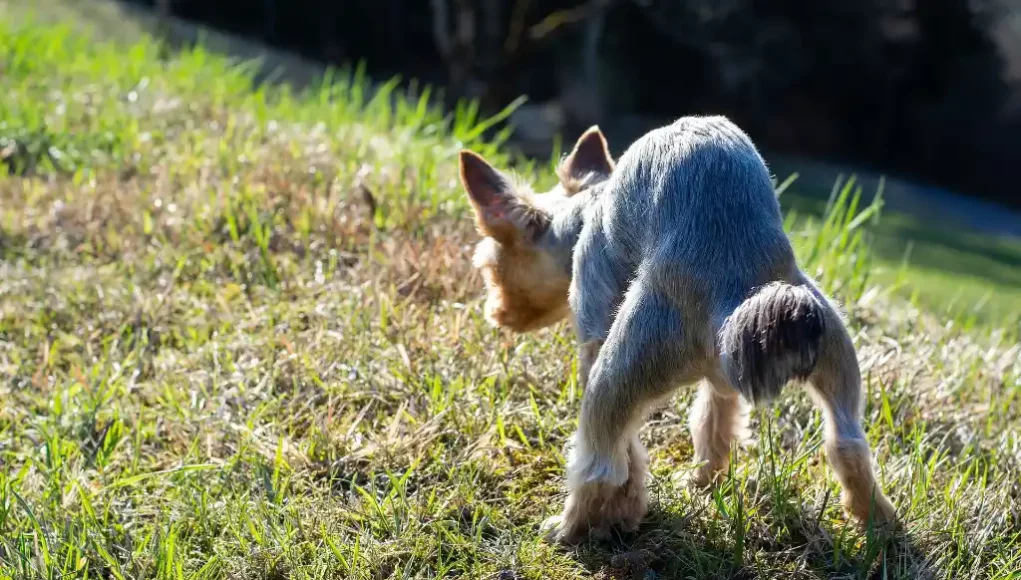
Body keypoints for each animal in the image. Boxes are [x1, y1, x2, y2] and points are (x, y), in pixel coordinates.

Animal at [459, 115, 898, 543]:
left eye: (488, 267)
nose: (496, 313)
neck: (586, 210)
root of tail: (731, 284)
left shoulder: (594, 332)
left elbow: (628, 456)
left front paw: (623, 512)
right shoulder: (726, 381)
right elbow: (715, 423)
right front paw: (696, 484)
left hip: (630, 357)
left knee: (600, 467)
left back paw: (569, 529)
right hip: (832, 345)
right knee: (847, 441)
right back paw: (878, 521)